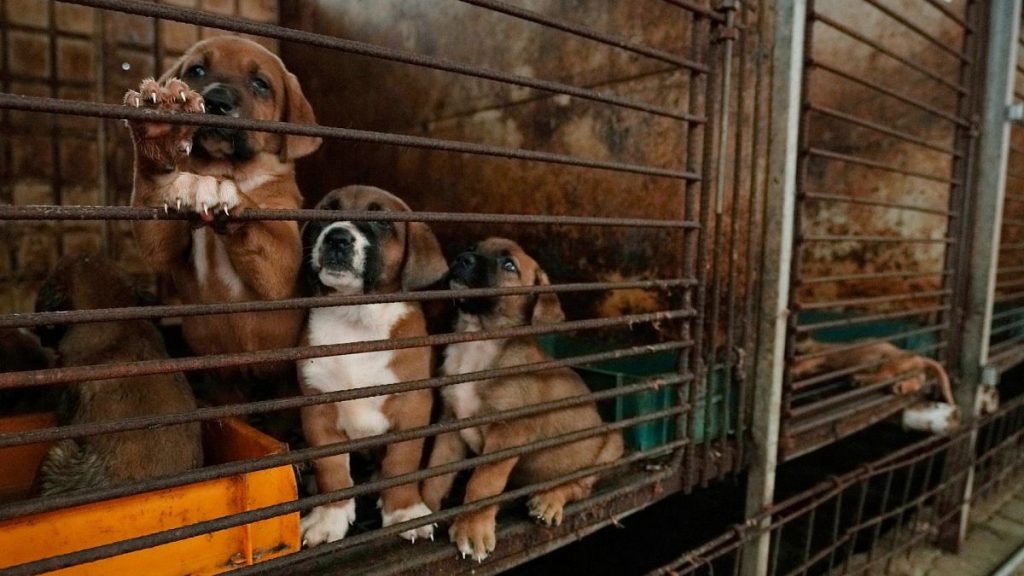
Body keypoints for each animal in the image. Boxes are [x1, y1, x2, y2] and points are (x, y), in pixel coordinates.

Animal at [124, 35, 323, 403]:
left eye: (260, 84)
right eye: (197, 70)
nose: (217, 102)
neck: (223, 167)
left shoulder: (283, 265)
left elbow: (257, 223)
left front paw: (223, 192)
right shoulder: (164, 242)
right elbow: (155, 193)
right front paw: (160, 132)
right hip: (225, 385)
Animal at [292, 186, 444, 545]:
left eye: (381, 221)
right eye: (326, 213)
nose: (337, 238)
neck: (357, 319)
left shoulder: (413, 406)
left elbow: (402, 462)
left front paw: (404, 510)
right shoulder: (317, 411)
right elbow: (331, 470)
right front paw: (330, 517)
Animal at [421, 236, 626, 561]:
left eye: (509, 265)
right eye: (474, 247)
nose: (462, 258)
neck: (478, 342)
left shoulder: (509, 432)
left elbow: (483, 484)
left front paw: (472, 528)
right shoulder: (450, 424)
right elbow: (436, 473)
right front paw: (422, 511)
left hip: (610, 445)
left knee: (578, 486)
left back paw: (549, 500)